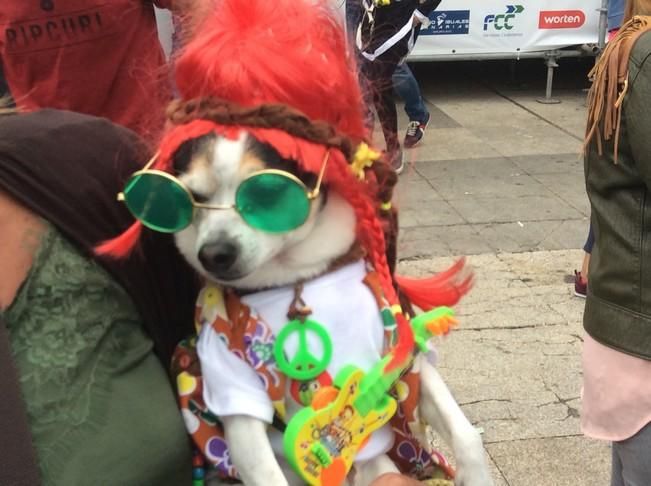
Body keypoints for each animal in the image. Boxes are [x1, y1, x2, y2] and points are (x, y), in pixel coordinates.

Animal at [171, 130, 492, 486]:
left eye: (267, 193)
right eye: (192, 198)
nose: (213, 254)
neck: (298, 281)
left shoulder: (409, 360)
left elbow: (466, 434)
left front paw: (476, 476)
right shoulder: (235, 394)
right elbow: (267, 473)